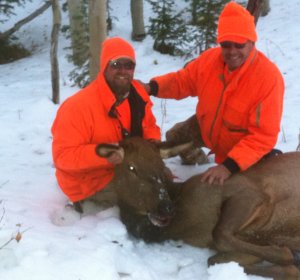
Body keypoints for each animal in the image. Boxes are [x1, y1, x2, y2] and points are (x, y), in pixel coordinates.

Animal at [95, 138, 300, 280]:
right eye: (132, 167)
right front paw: (290, 260)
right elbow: (213, 260)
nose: (166, 207)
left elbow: (219, 233)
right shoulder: (253, 237)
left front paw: (286, 253)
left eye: (161, 166)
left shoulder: (250, 192)